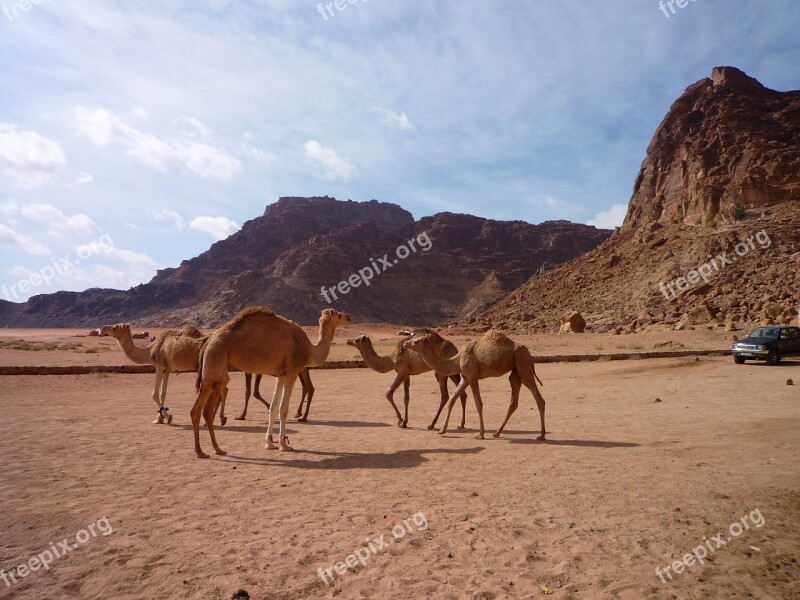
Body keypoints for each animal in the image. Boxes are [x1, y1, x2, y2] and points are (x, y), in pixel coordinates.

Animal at [192, 308, 352, 458]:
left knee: (205, 409)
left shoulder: (280, 375)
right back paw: (202, 452)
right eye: (338, 314)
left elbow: (273, 408)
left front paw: (269, 443)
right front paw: (284, 444)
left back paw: (217, 450)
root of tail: (208, 342)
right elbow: (283, 409)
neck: (309, 349)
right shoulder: (291, 372)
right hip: (215, 360)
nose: (348, 316)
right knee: (199, 409)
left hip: (218, 369)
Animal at [404, 328, 548, 440]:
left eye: (416, 341)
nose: (405, 343)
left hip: (522, 361)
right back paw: (497, 432)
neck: (456, 360)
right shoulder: (465, 378)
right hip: (516, 369)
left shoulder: (473, 377)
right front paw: (442, 430)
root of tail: (527, 351)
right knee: (514, 399)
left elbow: (478, 403)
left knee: (538, 397)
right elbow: (452, 399)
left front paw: (480, 434)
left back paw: (541, 435)